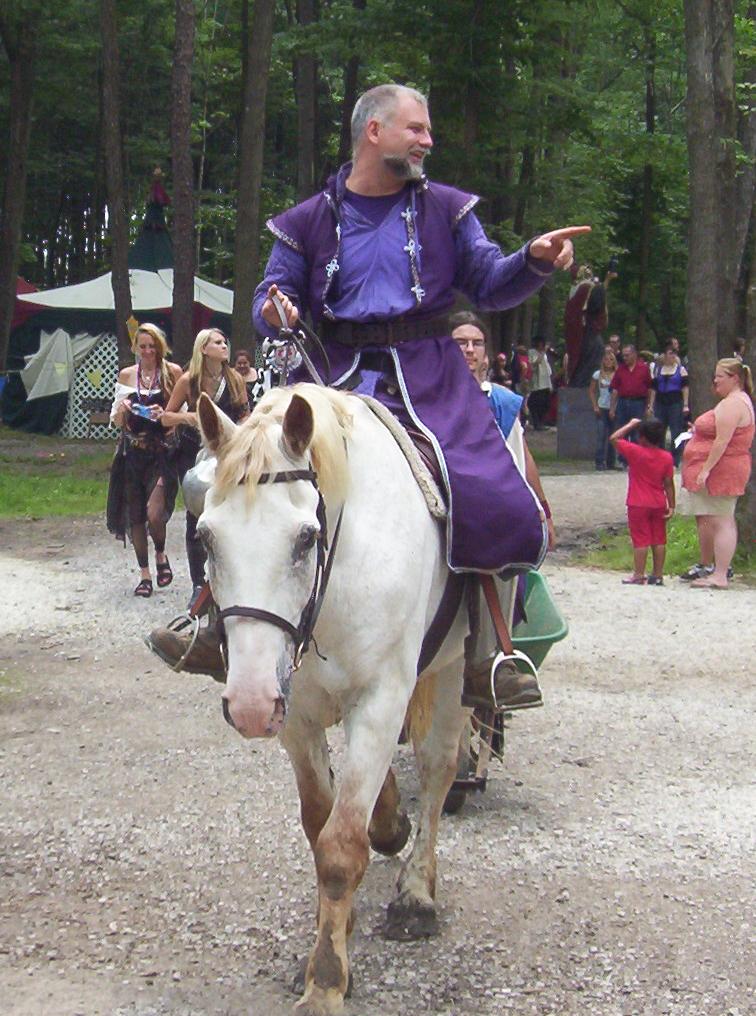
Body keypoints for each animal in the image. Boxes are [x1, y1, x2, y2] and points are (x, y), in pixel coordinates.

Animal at [196, 382, 471, 1016]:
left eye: (305, 538)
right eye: (205, 536)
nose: (248, 706)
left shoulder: (380, 701)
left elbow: (341, 848)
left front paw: (324, 981)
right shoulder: (294, 712)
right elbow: (319, 823)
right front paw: (334, 937)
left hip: (455, 665)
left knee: (439, 767)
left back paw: (417, 892)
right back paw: (390, 822)